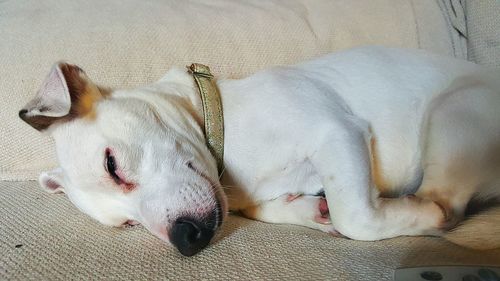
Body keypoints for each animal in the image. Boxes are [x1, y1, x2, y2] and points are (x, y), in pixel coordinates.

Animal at [18, 46, 500, 256]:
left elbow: (355, 216)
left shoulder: (336, 131)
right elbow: (268, 208)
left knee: (447, 203)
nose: (186, 242)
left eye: (112, 165)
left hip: (453, 110)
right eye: (127, 224)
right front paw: (308, 209)